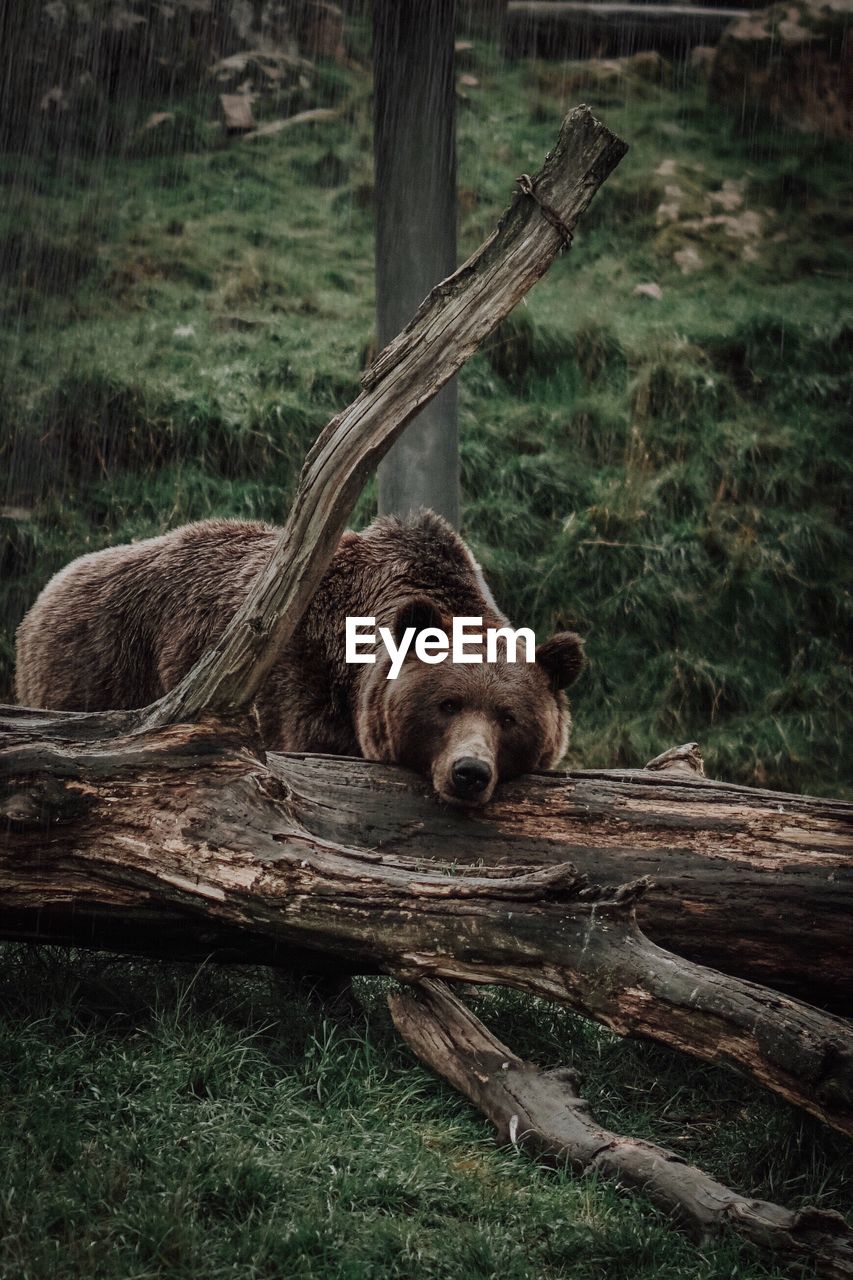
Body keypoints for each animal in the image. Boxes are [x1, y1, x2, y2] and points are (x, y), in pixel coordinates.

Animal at [16, 512, 581, 803]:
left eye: (507, 716)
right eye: (447, 704)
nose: (469, 772)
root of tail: (48, 587)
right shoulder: (302, 687)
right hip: (102, 663)